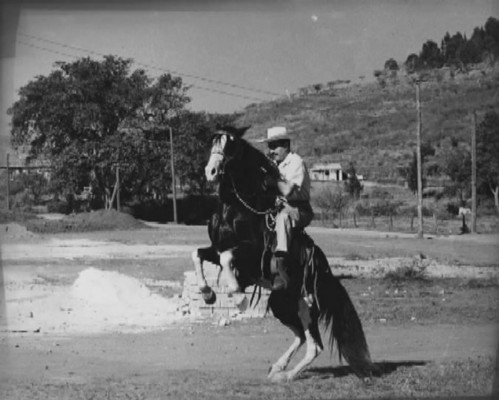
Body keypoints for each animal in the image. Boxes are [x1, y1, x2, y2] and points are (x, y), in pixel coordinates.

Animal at [193, 126, 374, 382]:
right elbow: (197, 254)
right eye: (213, 144)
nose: (211, 171)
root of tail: (327, 276)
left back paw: (287, 376)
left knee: (314, 345)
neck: (235, 207)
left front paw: (239, 298)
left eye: (231, 146)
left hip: (301, 307)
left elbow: (228, 259)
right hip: (284, 305)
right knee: (301, 336)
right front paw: (208, 294)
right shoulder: (216, 249)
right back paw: (278, 368)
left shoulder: (250, 254)